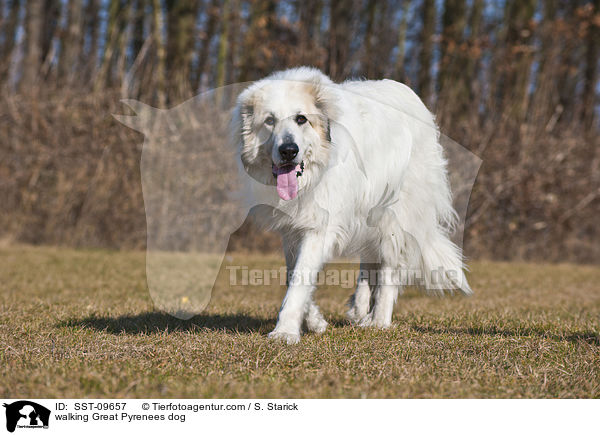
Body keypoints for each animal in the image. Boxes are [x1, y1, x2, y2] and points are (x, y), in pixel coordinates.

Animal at [232, 67, 472, 344]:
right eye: (269, 121)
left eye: (301, 119)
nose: (288, 151)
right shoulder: (292, 229)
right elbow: (293, 273)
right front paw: (315, 322)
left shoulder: (319, 227)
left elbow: (301, 278)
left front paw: (285, 331)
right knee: (369, 258)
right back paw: (359, 307)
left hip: (395, 214)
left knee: (390, 266)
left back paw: (378, 320)